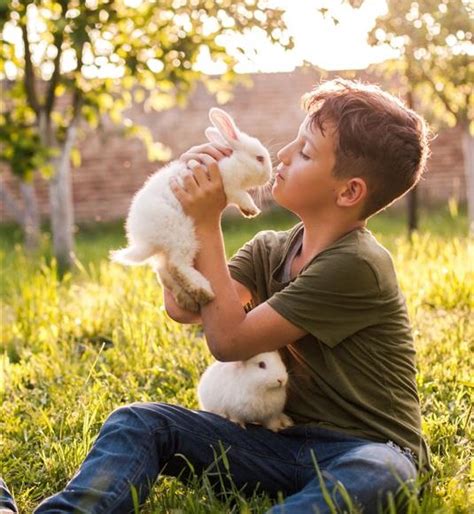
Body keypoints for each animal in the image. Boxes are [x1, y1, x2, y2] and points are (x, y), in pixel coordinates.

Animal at [108, 106, 270, 310]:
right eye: (259, 158)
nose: (269, 176)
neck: (235, 161)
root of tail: (144, 240)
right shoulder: (229, 186)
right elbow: (242, 196)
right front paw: (252, 210)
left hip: (166, 249)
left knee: (164, 272)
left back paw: (188, 300)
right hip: (182, 235)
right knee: (177, 266)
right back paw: (203, 291)